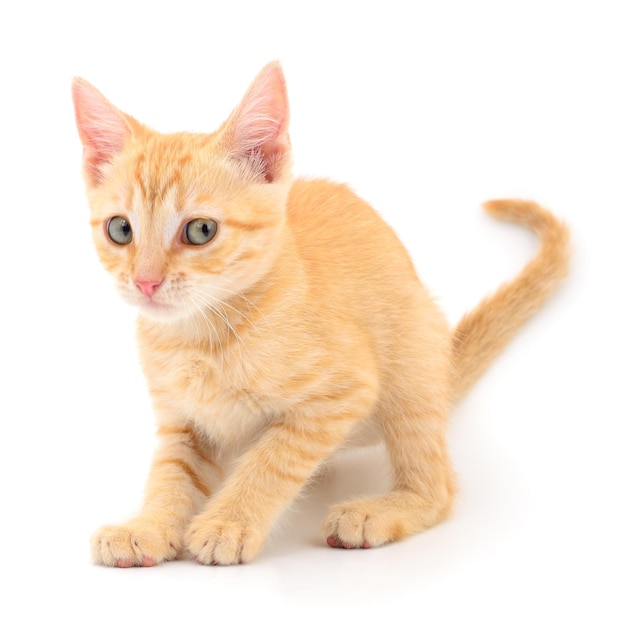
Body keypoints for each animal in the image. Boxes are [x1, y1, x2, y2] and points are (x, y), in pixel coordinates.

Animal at [72, 61, 572, 564]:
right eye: (120, 230)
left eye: (200, 231)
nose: (145, 282)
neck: (200, 333)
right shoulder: (181, 420)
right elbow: (171, 474)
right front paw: (149, 526)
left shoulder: (344, 392)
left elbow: (272, 458)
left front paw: (228, 522)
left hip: (411, 358)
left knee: (438, 488)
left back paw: (376, 511)